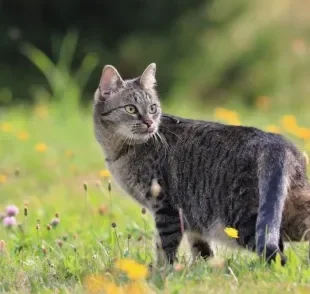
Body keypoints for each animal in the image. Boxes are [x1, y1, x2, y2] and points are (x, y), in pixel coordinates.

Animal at [92, 62, 310, 266]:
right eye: (131, 109)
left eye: (152, 108)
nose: (149, 123)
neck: (119, 149)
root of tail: (275, 141)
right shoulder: (192, 219)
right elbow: (201, 250)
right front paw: (205, 268)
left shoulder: (166, 207)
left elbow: (165, 247)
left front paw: (163, 272)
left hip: (243, 220)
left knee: (277, 251)